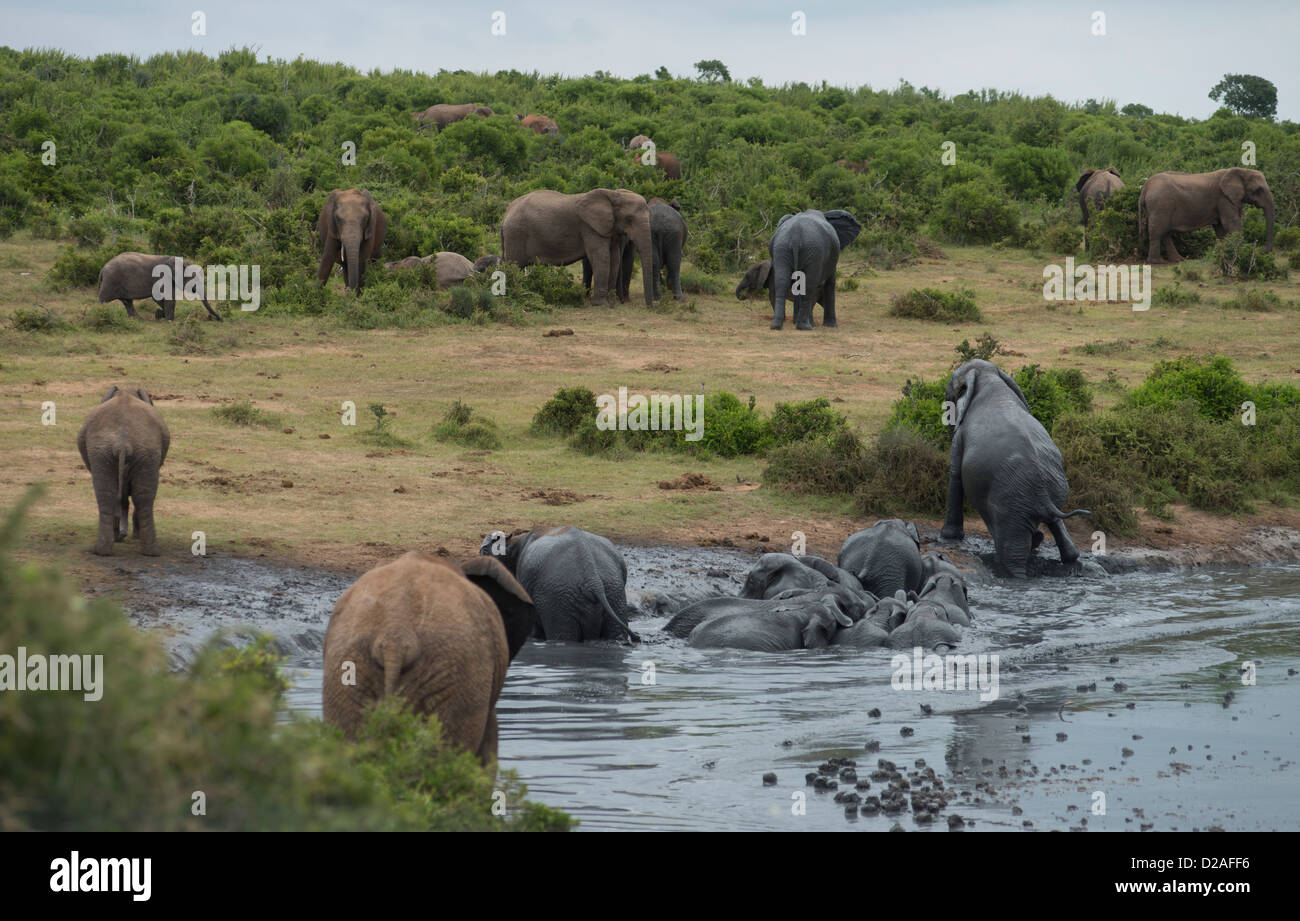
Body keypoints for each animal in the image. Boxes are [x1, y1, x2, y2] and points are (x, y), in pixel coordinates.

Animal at [76, 386, 169, 556]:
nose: (123, 534)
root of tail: (122, 443)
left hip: (111, 452)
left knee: (110, 495)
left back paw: (104, 550)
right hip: (137, 453)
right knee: (140, 497)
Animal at [480, 526, 638, 642]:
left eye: (484, 554)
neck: (516, 540)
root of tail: (593, 581)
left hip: (557, 597)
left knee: (563, 636)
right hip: (613, 591)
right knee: (615, 635)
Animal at [501, 188, 654, 307]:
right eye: (629, 219)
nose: (650, 307)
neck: (613, 194)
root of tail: (506, 213)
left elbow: (614, 258)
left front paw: (612, 303)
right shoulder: (589, 228)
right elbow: (601, 257)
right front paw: (601, 305)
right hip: (516, 233)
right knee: (515, 265)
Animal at [941, 360, 1090, 577]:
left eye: (949, 393)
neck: (987, 376)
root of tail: (1043, 494)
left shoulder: (960, 437)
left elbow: (955, 476)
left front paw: (948, 537)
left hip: (1011, 500)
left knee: (1012, 554)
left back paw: (1012, 574)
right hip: (1053, 489)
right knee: (1058, 526)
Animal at [1140, 168, 1274, 264]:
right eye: (1258, 190)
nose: (1261, 250)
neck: (1241, 170)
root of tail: (1145, 186)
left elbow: (1220, 228)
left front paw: (1224, 253)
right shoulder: (1224, 198)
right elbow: (1230, 223)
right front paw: (1239, 252)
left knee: (1166, 233)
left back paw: (1178, 260)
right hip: (1160, 205)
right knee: (1158, 232)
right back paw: (1157, 262)